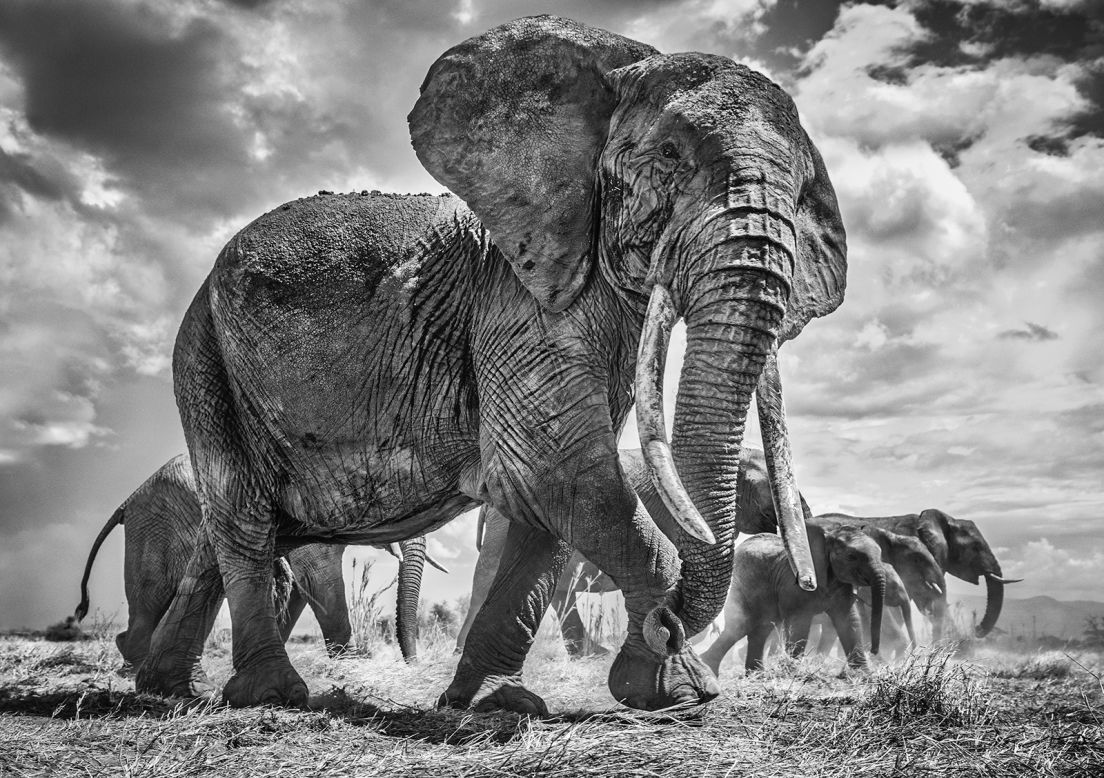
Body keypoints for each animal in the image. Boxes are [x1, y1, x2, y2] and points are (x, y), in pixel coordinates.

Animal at [72, 454, 434, 666]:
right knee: (151, 598)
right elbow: (317, 574)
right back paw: (136, 665)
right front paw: (349, 668)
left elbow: (299, 588)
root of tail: (128, 499)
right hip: (156, 526)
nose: (413, 666)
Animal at [697, 520, 887, 675]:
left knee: (760, 628)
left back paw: (756, 674)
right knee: (741, 626)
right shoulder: (794, 587)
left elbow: (849, 621)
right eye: (851, 557)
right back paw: (708, 667)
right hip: (741, 586)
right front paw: (793, 672)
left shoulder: (841, 584)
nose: (874, 651)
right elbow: (799, 625)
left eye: (880, 552)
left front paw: (865, 675)